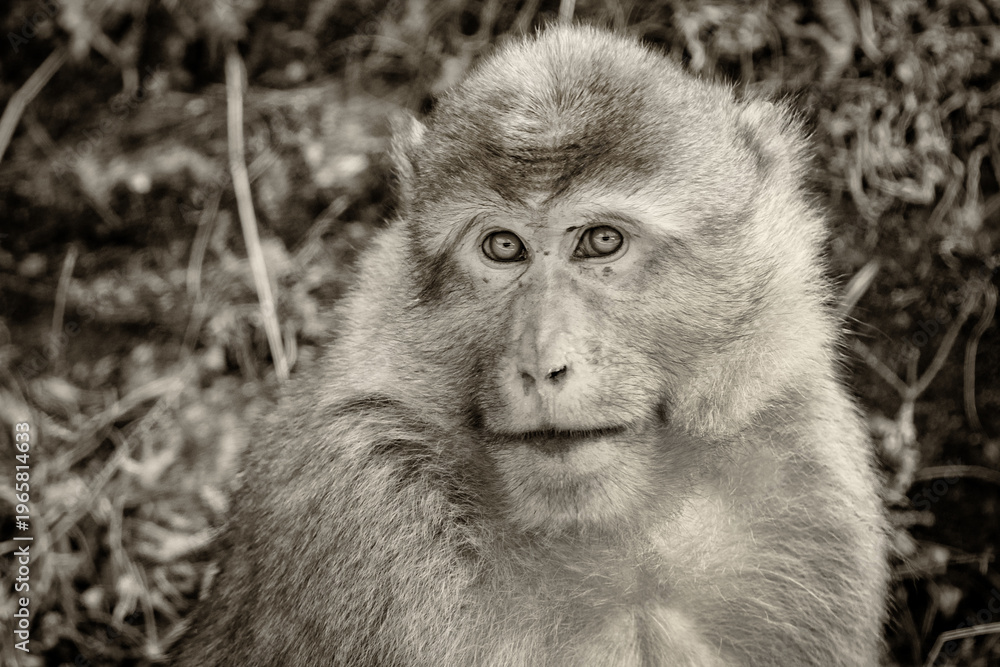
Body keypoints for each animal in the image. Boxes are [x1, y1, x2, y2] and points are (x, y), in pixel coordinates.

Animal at [173, 24, 888, 667]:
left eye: (602, 241)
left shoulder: (804, 475)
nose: (542, 365)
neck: (612, 536)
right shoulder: (368, 503)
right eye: (502, 246)